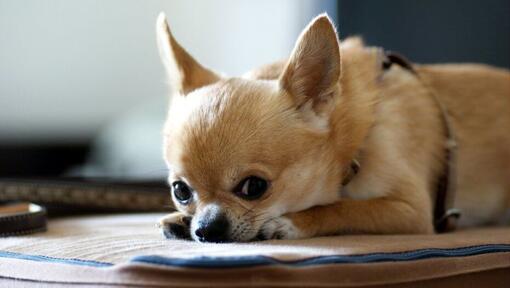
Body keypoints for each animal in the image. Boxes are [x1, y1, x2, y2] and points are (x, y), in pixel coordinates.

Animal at [155, 11, 510, 243]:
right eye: (180, 191)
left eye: (254, 187)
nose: (205, 229)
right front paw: (180, 220)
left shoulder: (413, 211)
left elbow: (345, 208)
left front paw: (293, 222)